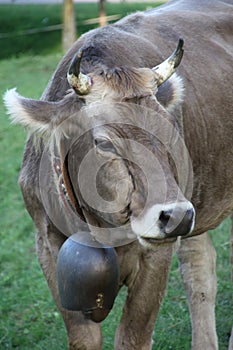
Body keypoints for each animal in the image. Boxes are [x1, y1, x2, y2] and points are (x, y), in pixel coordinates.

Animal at [3, 0, 233, 348]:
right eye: (103, 142)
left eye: (171, 130)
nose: (177, 216)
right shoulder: (47, 247)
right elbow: (83, 338)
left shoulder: (156, 257)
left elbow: (131, 338)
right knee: (199, 265)